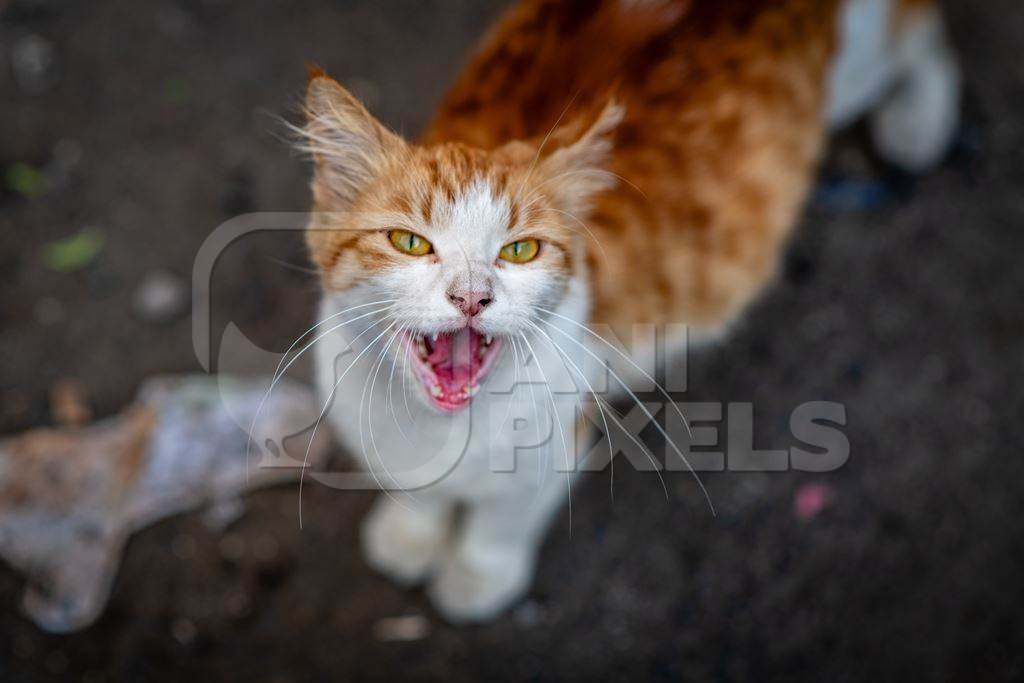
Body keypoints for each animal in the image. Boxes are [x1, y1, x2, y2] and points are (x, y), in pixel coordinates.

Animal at [299, 0, 954, 622]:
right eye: (409, 242)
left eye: (519, 251)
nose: (471, 296)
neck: (437, 424)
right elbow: (418, 490)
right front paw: (411, 531)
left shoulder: (558, 442)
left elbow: (504, 520)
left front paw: (479, 576)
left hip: (861, 64)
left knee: (922, 35)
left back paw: (921, 118)